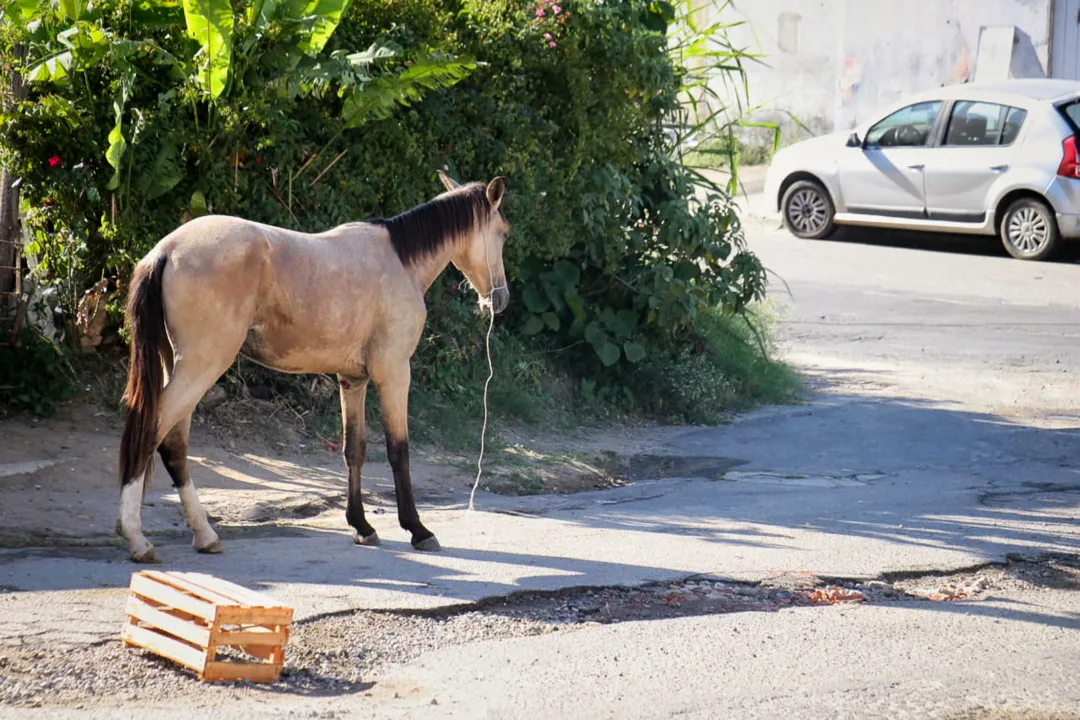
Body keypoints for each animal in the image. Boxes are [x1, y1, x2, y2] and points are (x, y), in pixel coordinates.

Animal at [116, 172, 511, 561]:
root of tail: (167, 250)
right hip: (201, 367)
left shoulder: (352, 380)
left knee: (174, 445)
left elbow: (354, 449)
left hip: (183, 368)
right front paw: (417, 529)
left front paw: (361, 526)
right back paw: (137, 538)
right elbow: (399, 450)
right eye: (503, 233)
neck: (400, 259)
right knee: (152, 430)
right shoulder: (394, 373)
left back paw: (204, 535)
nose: (500, 299)